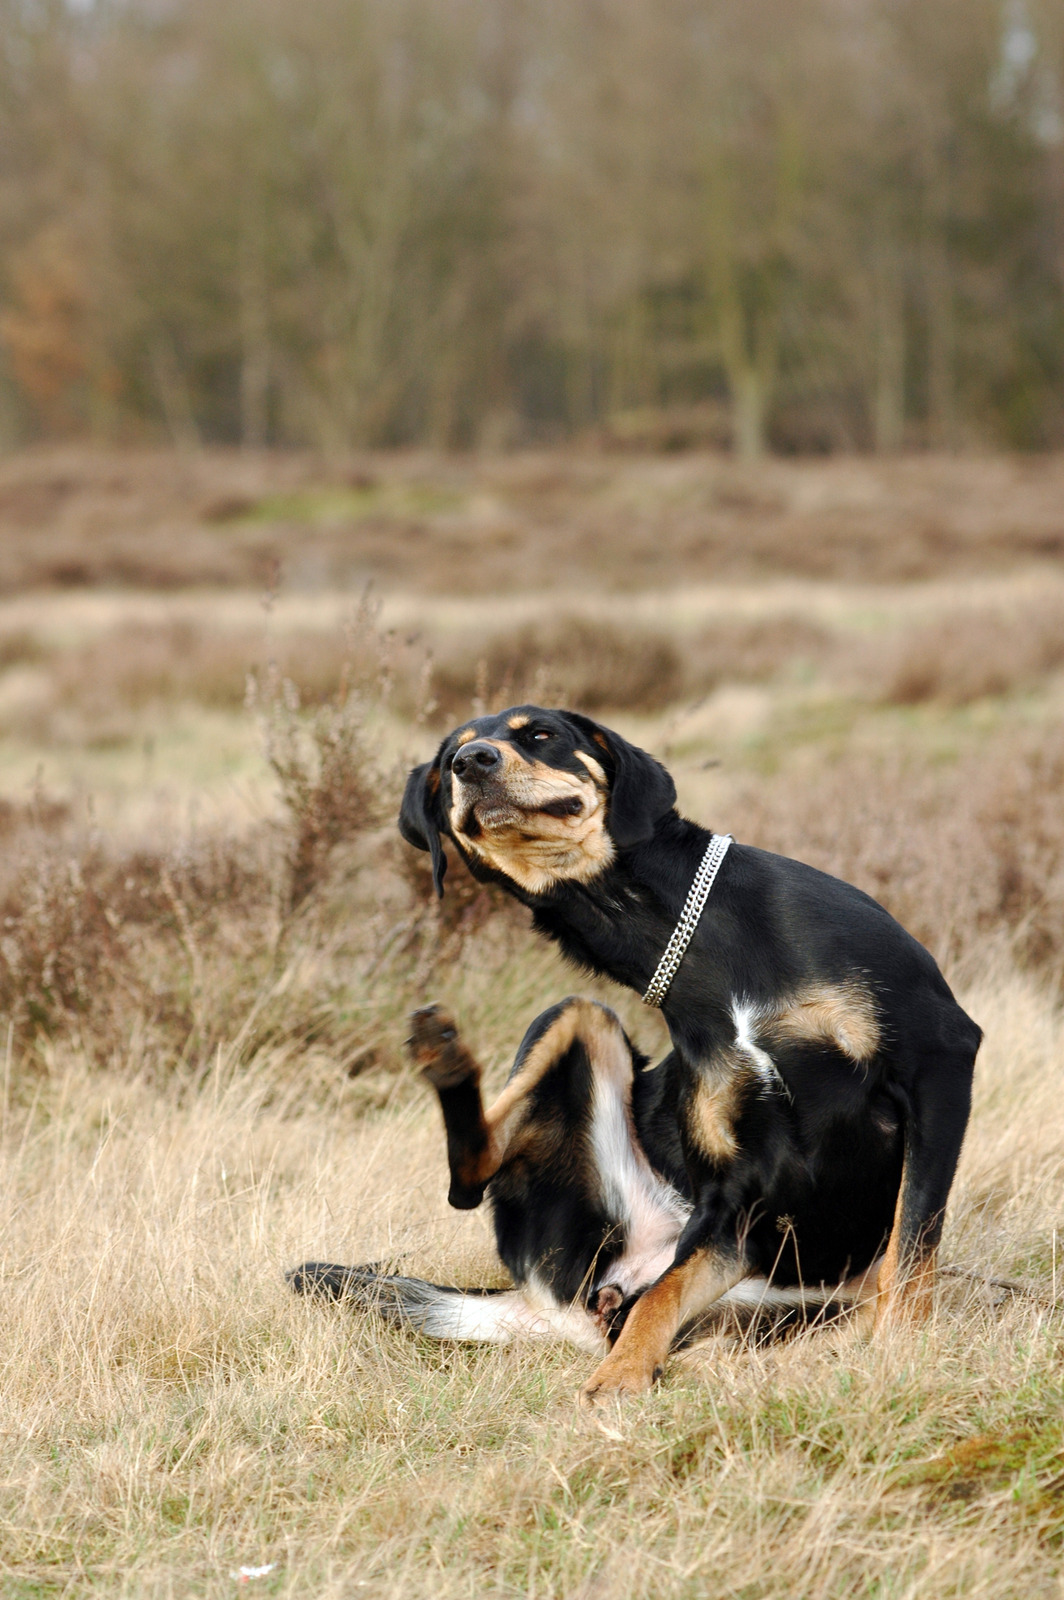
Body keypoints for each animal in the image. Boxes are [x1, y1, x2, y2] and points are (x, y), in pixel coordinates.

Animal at [288, 707, 979, 1408]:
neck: (687, 938)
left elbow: (912, 1246)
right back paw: (444, 1057)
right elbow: (663, 1295)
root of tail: (545, 1304)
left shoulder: (939, 1060)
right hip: (578, 1021)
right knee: (474, 1180)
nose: (471, 761)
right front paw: (618, 1380)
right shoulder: (737, 1201)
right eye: (448, 757)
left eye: (539, 733)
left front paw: (897, 1356)